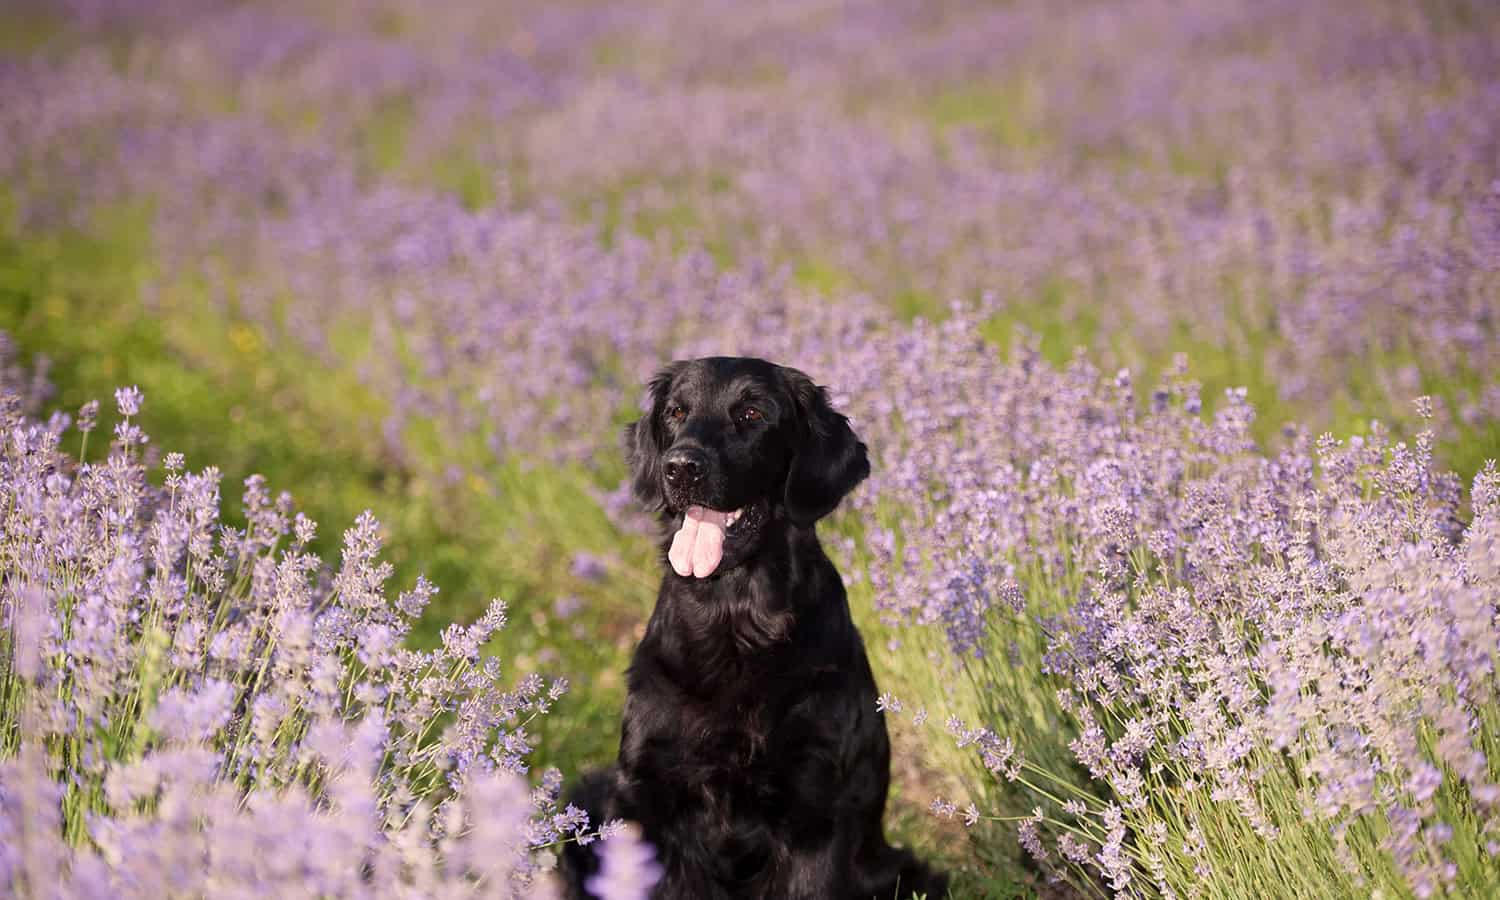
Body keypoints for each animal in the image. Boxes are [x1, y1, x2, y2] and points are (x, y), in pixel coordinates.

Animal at [564, 357, 948, 900]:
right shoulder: (650, 797)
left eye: (751, 414)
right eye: (676, 412)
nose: (680, 467)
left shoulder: (814, 807)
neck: (734, 622)